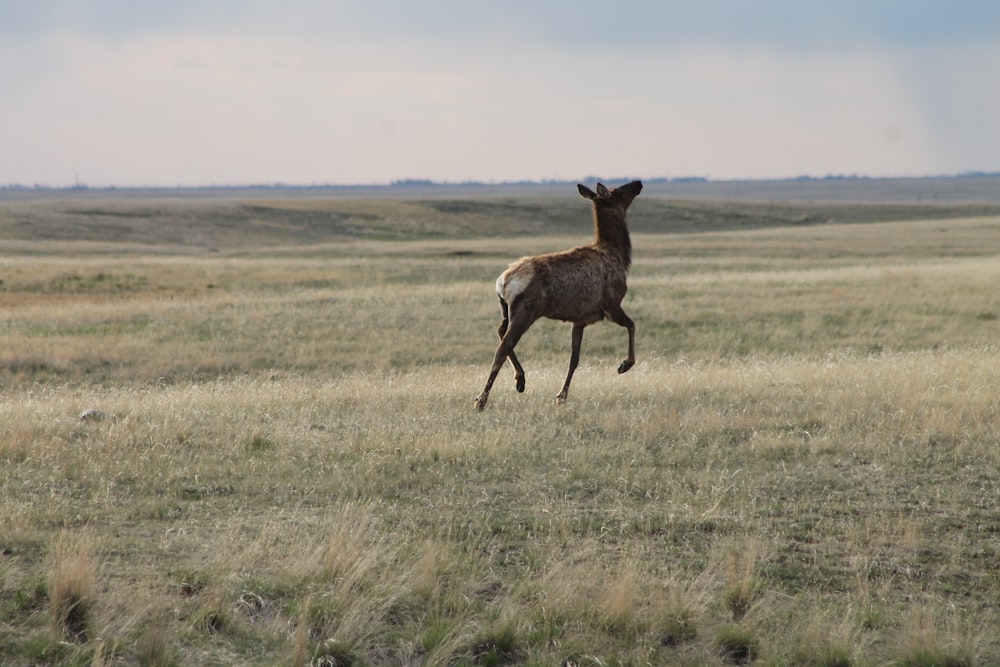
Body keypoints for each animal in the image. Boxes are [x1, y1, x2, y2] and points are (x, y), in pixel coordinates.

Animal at [474, 183, 644, 412]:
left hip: (506, 310)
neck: (618, 255)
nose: (638, 183)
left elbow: (574, 358)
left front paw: (561, 396)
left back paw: (520, 380)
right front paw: (624, 364)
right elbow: (632, 325)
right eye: (617, 190)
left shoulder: (580, 319)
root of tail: (502, 282)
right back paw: (481, 400)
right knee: (503, 347)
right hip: (525, 311)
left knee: (500, 331)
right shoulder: (611, 304)